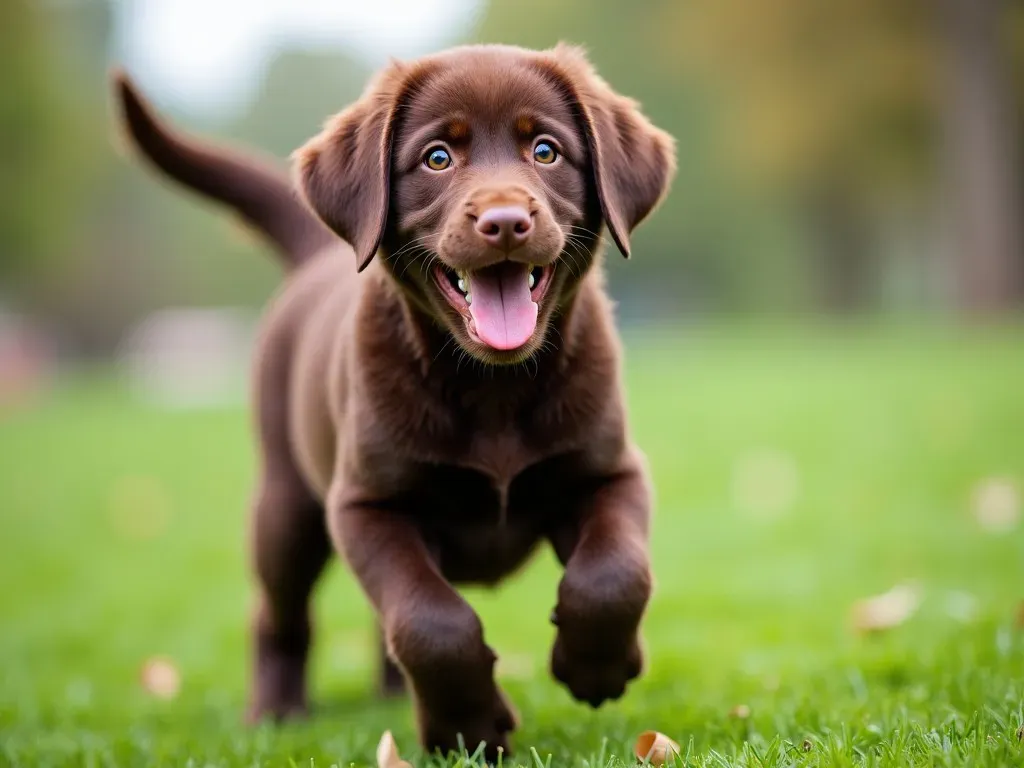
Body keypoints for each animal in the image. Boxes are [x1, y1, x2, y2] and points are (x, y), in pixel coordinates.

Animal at [112, 41, 675, 757]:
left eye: (546, 150)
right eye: (437, 158)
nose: (505, 222)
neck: (492, 386)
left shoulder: (608, 471)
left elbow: (613, 575)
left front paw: (595, 669)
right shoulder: (366, 504)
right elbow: (430, 620)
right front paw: (468, 728)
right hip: (287, 503)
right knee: (280, 612)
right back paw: (276, 711)